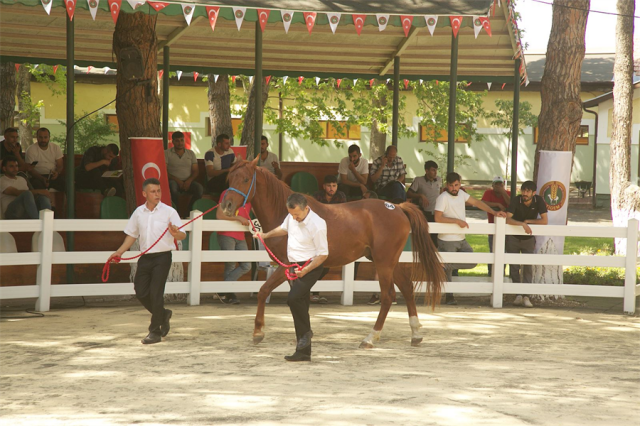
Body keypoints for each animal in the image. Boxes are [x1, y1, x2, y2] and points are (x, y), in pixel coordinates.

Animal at [220, 156, 444, 350]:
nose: (226, 206)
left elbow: (264, 291)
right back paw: (415, 334)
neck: (286, 215)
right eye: (230, 178)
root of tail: (397, 207)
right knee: (407, 288)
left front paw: (258, 332)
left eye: (246, 179)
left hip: (384, 262)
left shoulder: (287, 266)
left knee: (388, 296)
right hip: (387, 261)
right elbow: (297, 299)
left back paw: (370, 338)